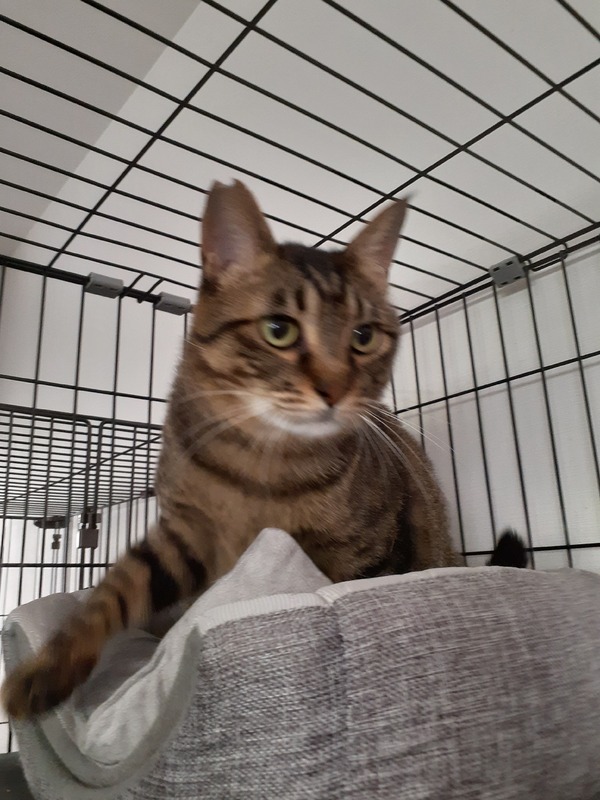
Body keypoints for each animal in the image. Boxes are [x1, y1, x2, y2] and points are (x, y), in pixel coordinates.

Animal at [1, 180, 525, 719]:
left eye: (363, 337)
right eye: (280, 330)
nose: (335, 389)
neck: (260, 464)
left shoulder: (362, 558)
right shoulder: (183, 532)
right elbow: (114, 590)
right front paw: (45, 671)